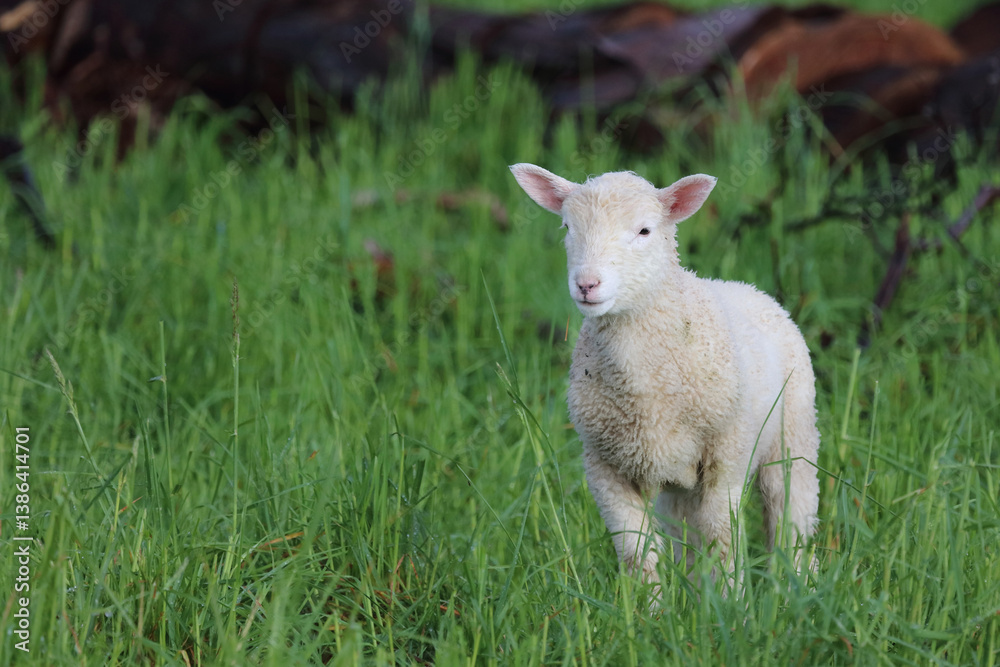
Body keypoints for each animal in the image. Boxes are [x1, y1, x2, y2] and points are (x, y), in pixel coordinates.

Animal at [509, 163, 820, 591]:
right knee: (684, 533)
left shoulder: (726, 454)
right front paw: (646, 606)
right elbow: (636, 550)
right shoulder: (604, 465)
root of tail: (752, 289)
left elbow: (723, 537)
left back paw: (800, 587)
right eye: (568, 228)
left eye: (644, 231)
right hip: (677, 482)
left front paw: (731, 601)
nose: (587, 284)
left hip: (793, 435)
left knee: (792, 517)